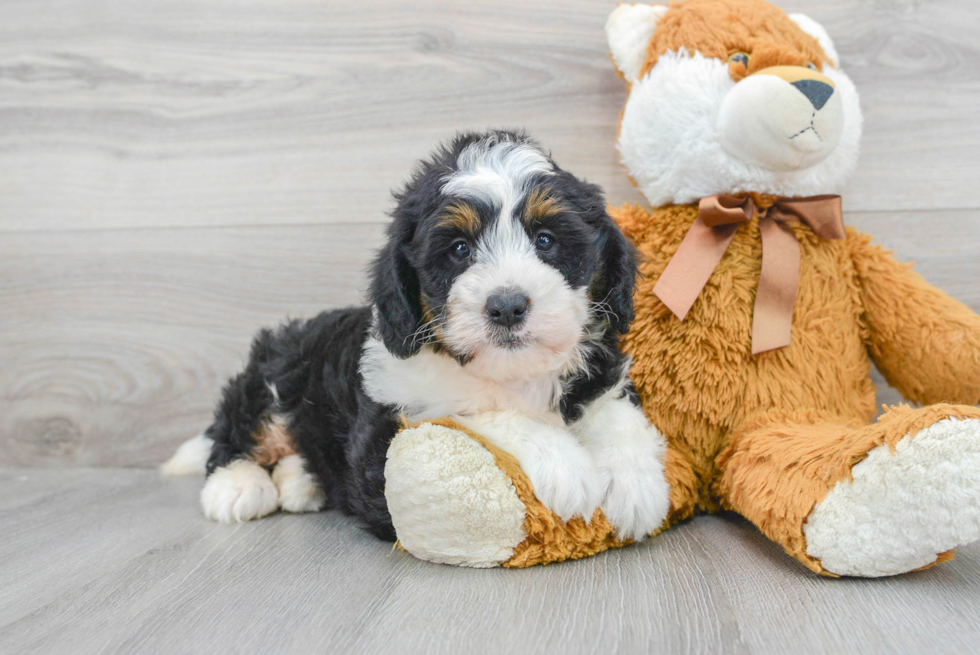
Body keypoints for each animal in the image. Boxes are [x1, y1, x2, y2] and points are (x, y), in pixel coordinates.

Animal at [167, 129, 672, 544]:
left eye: (546, 240)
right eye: (460, 249)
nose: (507, 305)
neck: (510, 373)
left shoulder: (600, 373)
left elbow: (615, 410)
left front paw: (636, 484)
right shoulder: (389, 430)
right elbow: (475, 411)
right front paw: (566, 465)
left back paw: (301, 483)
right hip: (275, 372)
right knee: (237, 430)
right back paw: (238, 486)